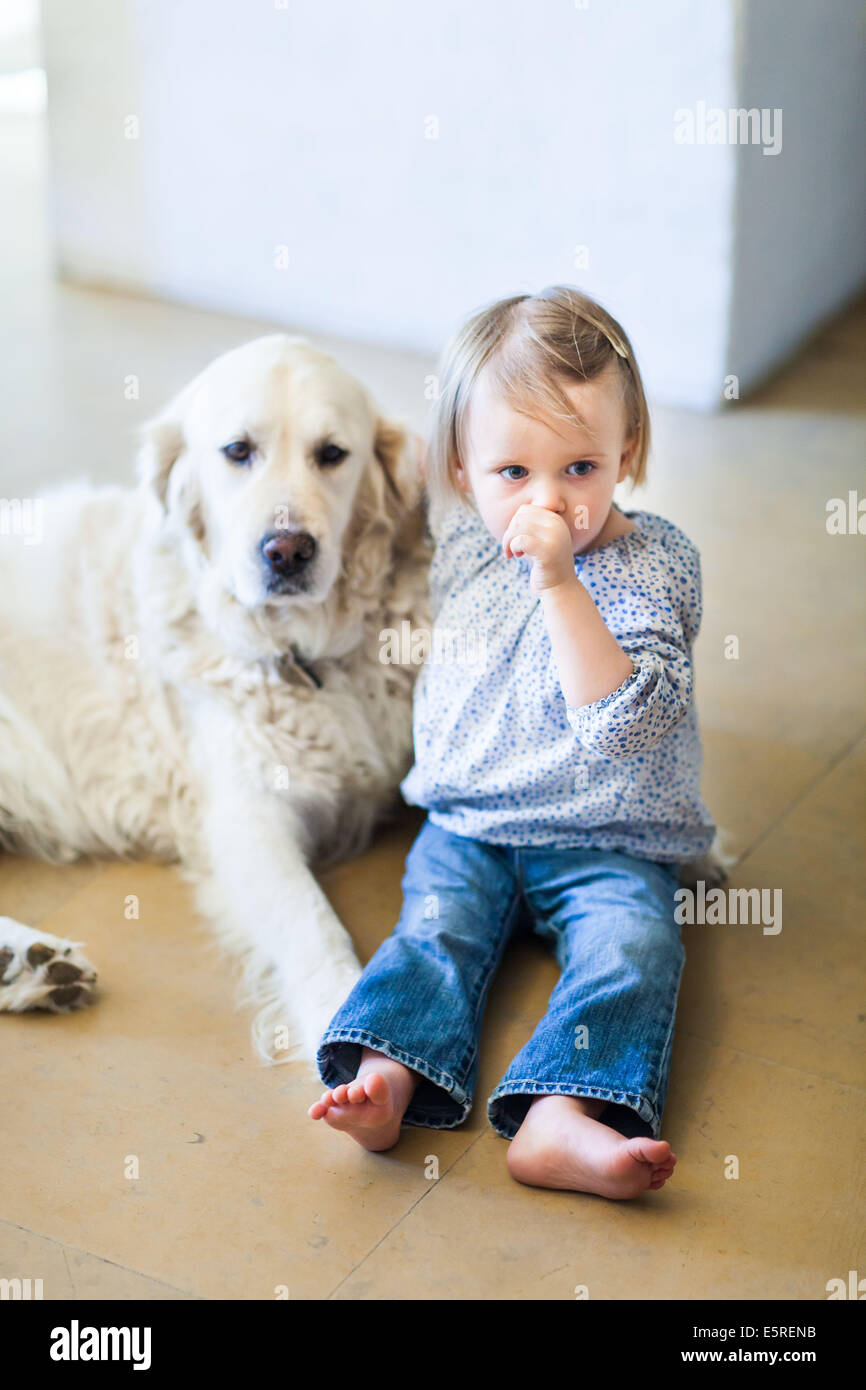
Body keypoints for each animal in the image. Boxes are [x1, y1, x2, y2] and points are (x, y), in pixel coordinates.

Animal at [0, 336, 433, 1061]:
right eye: (238, 451)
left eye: (332, 454)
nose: (287, 551)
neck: (304, 655)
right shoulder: (247, 816)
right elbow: (311, 922)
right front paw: (340, 1019)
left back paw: (30, 968)